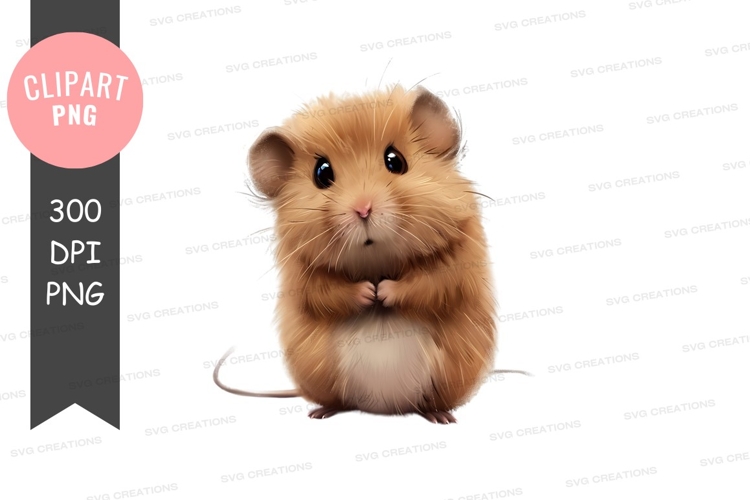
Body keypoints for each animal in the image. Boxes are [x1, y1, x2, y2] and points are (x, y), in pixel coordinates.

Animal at [214, 84, 531, 424]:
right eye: (322, 173)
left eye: (395, 160)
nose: (363, 209)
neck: (377, 261)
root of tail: (384, 408)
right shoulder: (303, 275)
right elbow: (326, 293)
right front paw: (369, 293)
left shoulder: (456, 265)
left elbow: (427, 285)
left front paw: (383, 292)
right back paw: (321, 413)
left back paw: (441, 416)